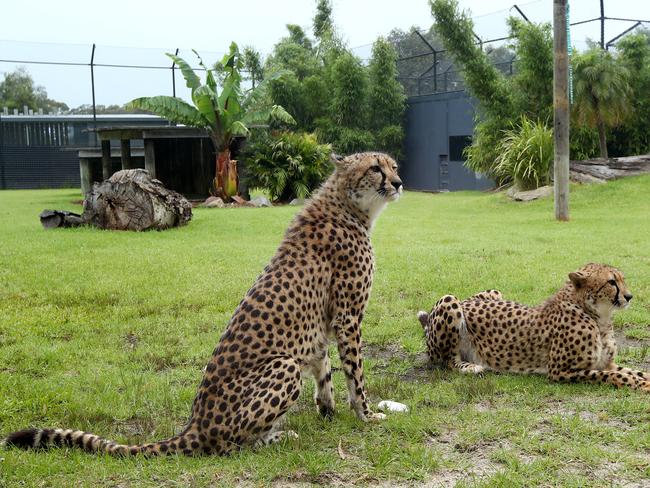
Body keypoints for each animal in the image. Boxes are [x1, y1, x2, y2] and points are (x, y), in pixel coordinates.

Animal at [3, 152, 400, 454]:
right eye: (375, 168)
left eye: (393, 165)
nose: (398, 182)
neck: (347, 205)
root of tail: (194, 424)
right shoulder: (348, 318)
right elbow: (355, 375)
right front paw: (367, 415)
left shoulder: (324, 325)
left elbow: (324, 368)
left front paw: (329, 411)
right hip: (282, 367)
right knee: (230, 445)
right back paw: (278, 437)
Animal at [416, 264, 648, 392]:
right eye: (611, 282)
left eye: (622, 280)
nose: (629, 296)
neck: (599, 317)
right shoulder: (560, 371)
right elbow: (617, 376)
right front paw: (644, 386)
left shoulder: (606, 363)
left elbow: (634, 371)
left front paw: (644, 379)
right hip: (449, 300)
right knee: (446, 360)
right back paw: (469, 367)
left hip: (494, 291)